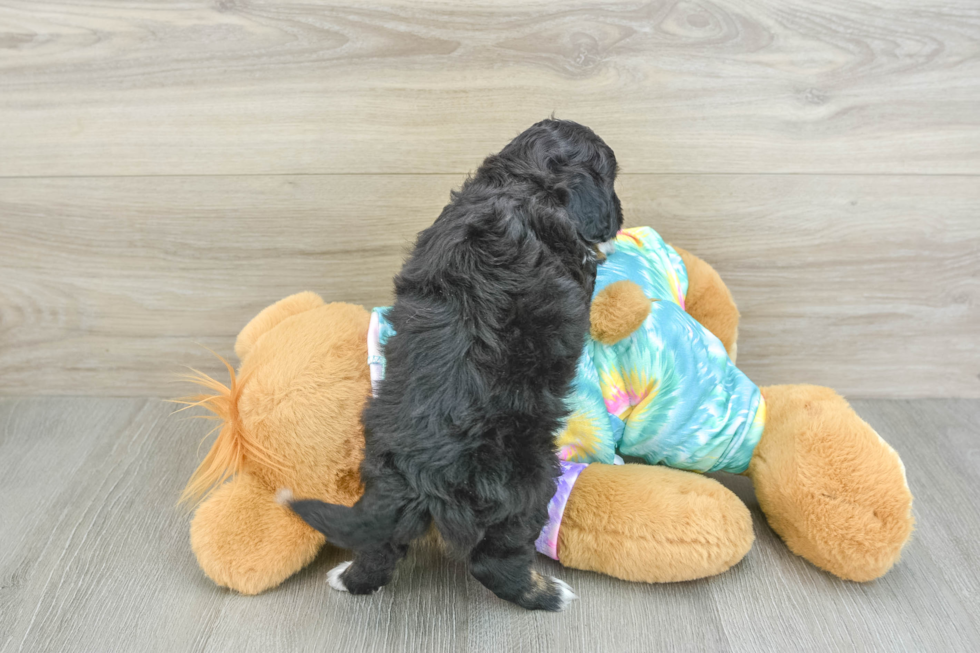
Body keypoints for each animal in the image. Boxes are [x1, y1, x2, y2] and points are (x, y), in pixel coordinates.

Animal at [290, 118, 620, 612]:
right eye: (611, 177)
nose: (618, 216)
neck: (522, 185)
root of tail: (422, 478)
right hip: (529, 481)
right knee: (495, 563)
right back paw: (548, 594)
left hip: (380, 482)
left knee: (380, 550)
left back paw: (347, 578)